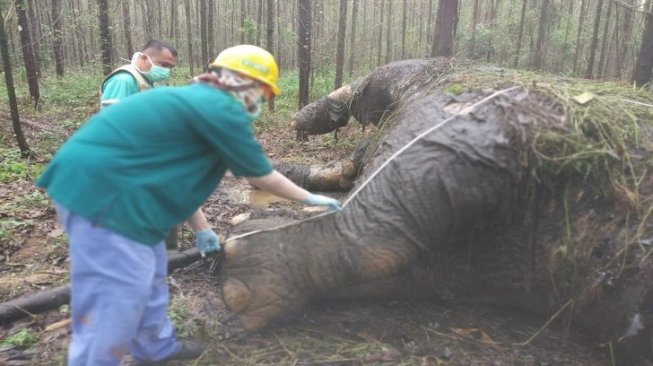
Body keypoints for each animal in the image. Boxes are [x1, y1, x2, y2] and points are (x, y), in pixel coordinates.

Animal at [220, 60, 652, 364]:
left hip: (461, 135)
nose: (297, 119)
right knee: (406, 264)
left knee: (376, 233)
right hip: (489, 267)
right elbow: (340, 169)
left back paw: (245, 254)